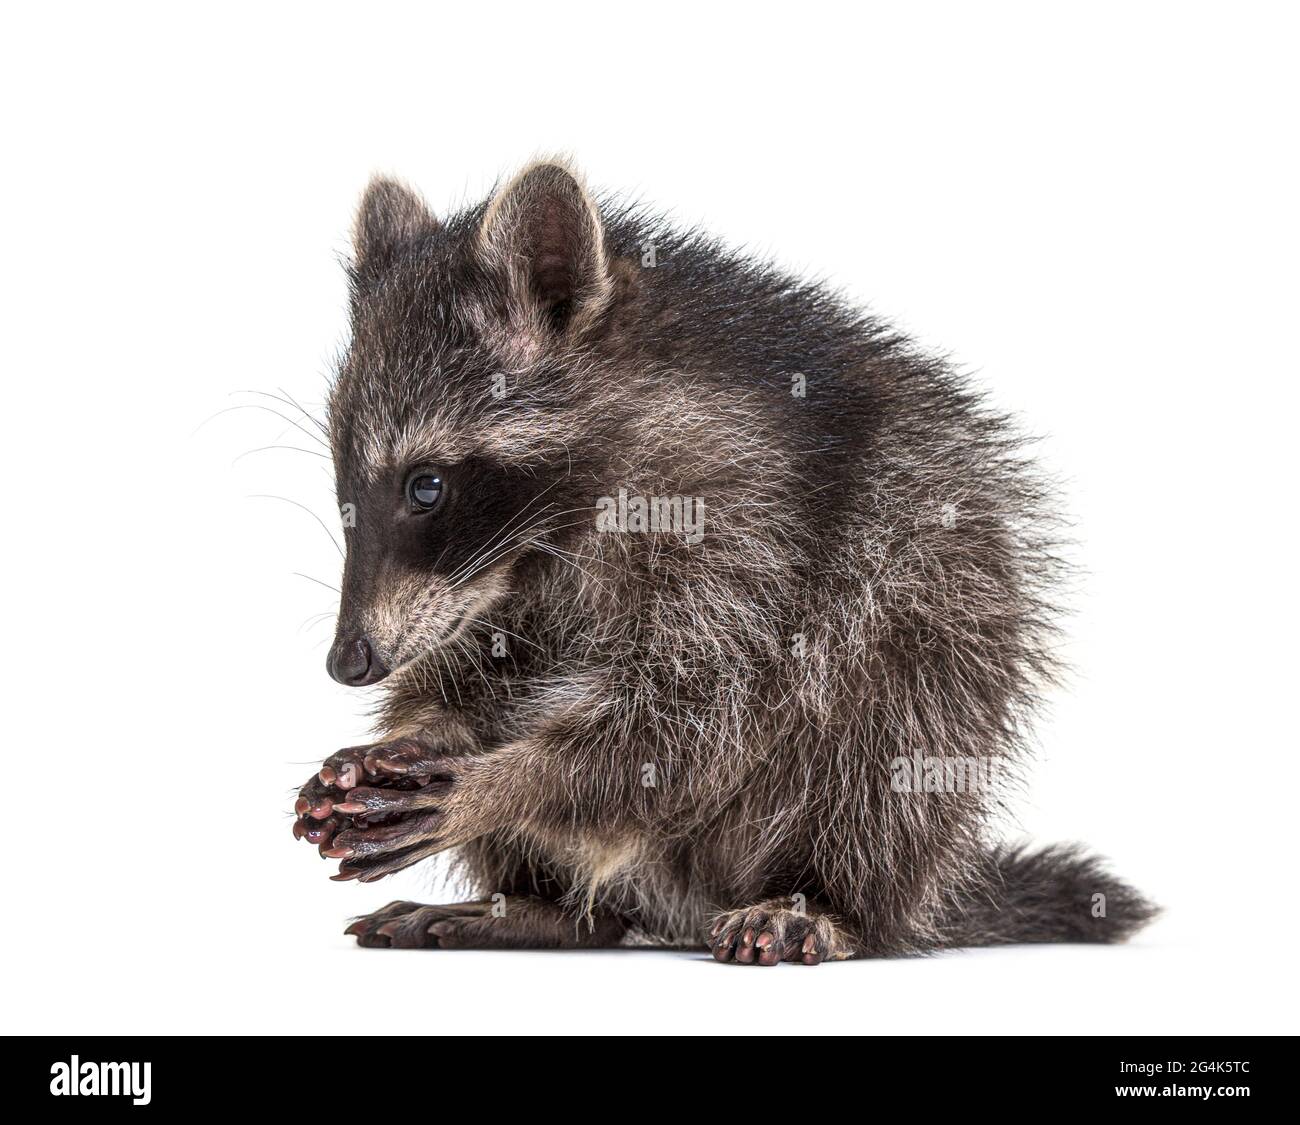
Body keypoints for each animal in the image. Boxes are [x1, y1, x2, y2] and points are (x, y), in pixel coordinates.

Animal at [290, 159, 1156, 963]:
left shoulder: (749, 528)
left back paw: (828, 898)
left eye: (426, 486)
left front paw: (506, 783)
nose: (347, 661)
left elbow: (690, 720)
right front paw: (425, 734)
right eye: (344, 490)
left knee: (884, 740)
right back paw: (542, 906)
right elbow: (475, 675)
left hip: (945, 612)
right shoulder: (487, 594)